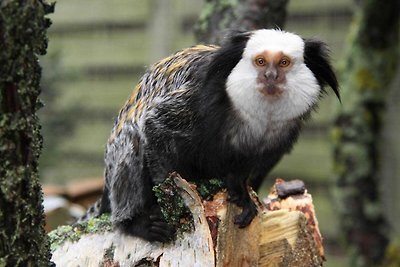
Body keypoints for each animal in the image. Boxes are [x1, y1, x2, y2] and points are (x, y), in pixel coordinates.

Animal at [96, 28, 338, 243]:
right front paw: (174, 197)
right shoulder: (196, 98)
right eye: (260, 61)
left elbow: (244, 167)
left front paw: (239, 191)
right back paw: (134, 222)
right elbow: (154, 126)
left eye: (284, 63)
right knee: (132, 139)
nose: (271, 76)